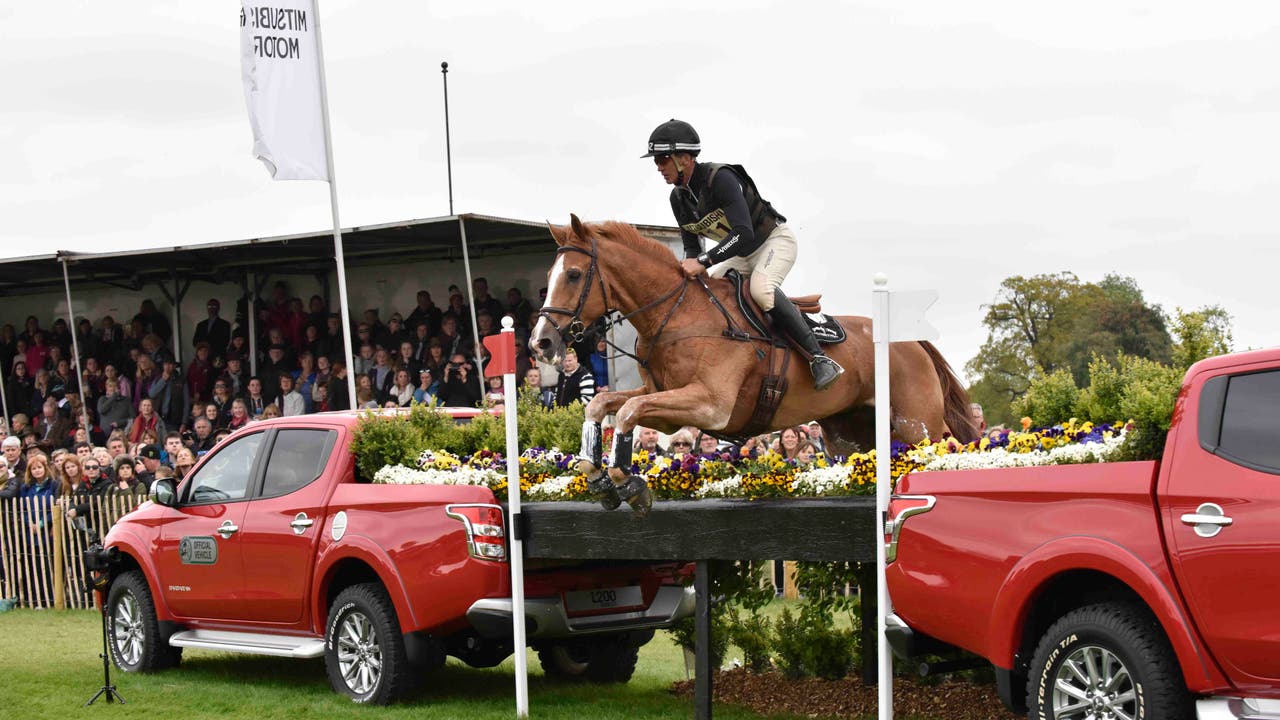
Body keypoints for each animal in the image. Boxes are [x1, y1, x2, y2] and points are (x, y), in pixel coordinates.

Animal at [524, 212, 972, 509]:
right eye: (548, 275)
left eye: (574, 275)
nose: (540, 343)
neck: (676, 314)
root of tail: (910, 341)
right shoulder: (665, 403)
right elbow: (604, 405)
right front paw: (599, 478)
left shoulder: (710, 405)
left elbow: (630, 410)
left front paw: (628, 484)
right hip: (852, 434)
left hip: (917, 424)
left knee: (948, 448)